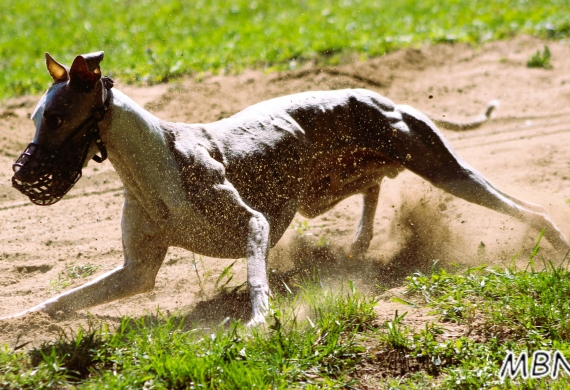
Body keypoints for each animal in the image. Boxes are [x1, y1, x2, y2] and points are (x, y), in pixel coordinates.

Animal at [6, 51, 564, 324]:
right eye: (34, 117)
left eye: (56, 117)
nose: (21, 175)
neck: (156, 157)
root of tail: (386, 99)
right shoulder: (136, 271)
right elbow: (63, 300)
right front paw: (20, 323)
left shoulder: (254, 223)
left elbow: (257, 275)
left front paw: (257, 321)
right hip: (333, 186)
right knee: (374, 189)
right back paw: (359, 243)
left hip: (443, 169)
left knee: (528, 209)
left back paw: (555, 241)